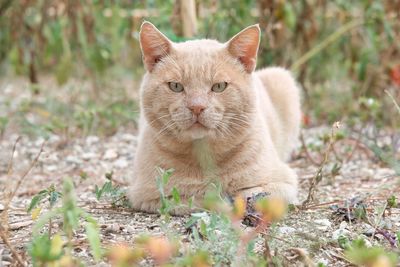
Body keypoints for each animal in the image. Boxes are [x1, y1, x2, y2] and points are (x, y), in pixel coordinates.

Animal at [128, 21, 300, 215]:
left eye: (219, 86)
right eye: (176, 86)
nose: (197, 107)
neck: (204, 155)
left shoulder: (283, 182)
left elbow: (253, 194)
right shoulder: (148, 196)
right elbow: (200, 199)